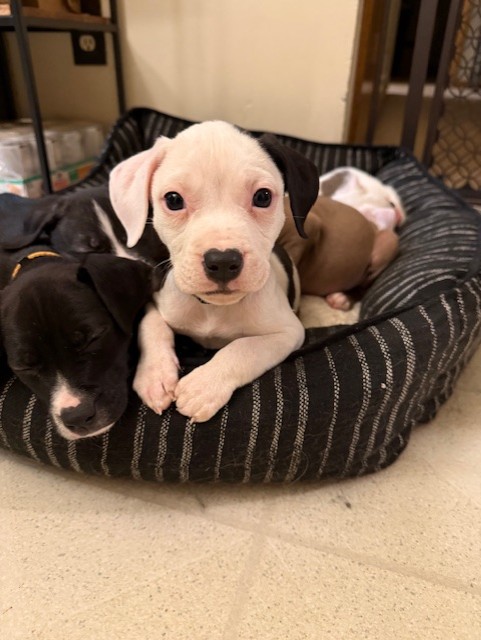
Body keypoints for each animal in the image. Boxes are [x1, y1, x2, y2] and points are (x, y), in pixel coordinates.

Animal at [109, 121, 319, 422]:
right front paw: (154, 375)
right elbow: (152, 327)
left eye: (263, 197)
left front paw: (204, 386)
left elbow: (244, 348)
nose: (222, 261)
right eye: (173, 200)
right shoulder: (157, 302)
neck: (213, 309)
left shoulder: (288, 332)